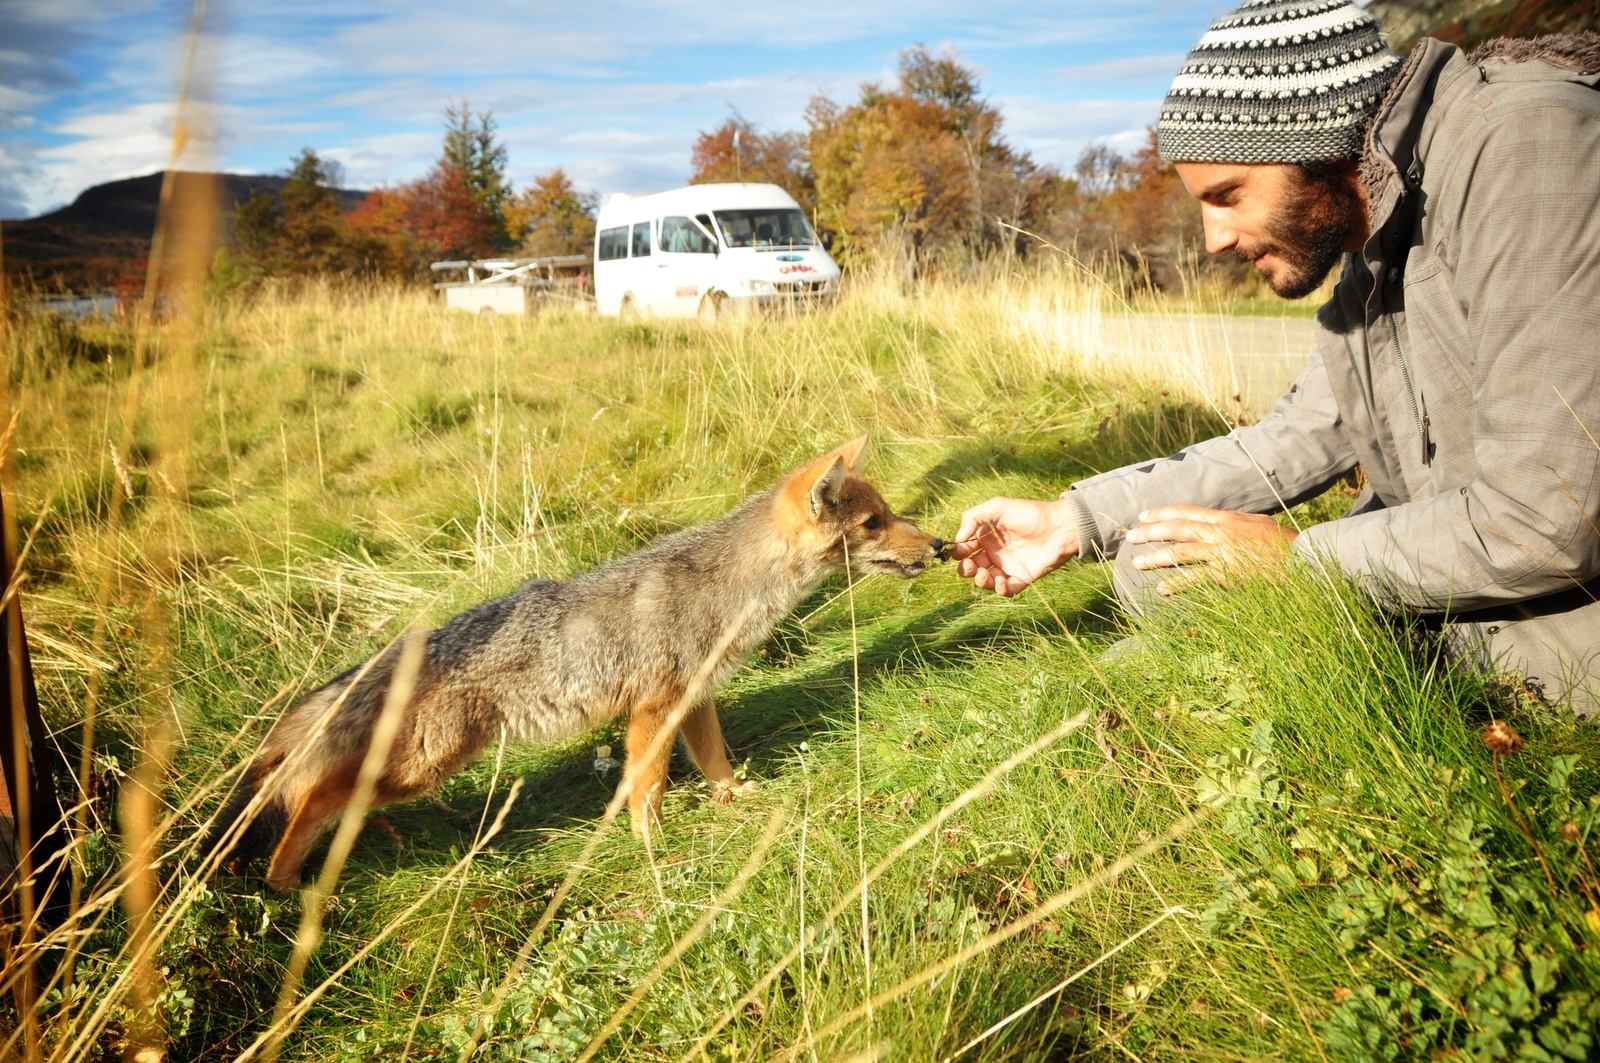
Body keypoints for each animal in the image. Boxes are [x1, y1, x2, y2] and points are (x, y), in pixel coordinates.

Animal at [206, 436, 943, 891]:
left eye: (890, 514)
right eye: (874, 523)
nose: (938, 545)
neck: (732, 589)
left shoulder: (694, 700)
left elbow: (716, 763)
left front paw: (736, 800)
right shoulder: (652, 709)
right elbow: (646, 787)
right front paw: (651, 843)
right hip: (418, 766)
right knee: (303, 798)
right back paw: (287, 883)